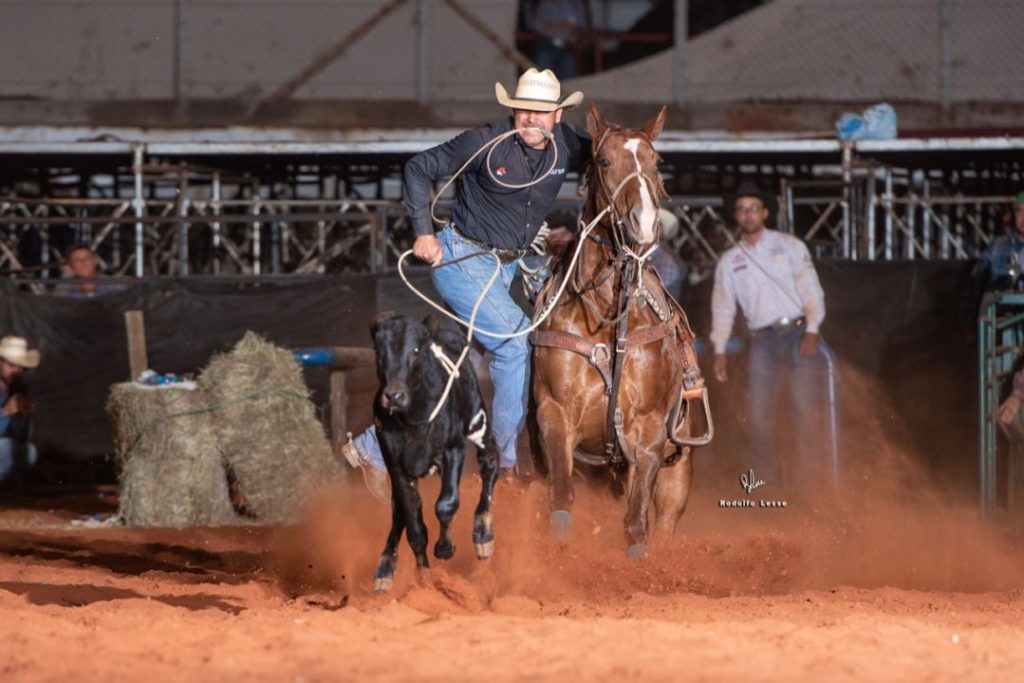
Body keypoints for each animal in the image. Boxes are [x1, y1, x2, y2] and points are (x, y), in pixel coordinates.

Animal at [368, 311, 499, 593]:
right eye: (379, 351)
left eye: (416, 349)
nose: (393, 396)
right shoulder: (396, 466)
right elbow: (414, 527)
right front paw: (423, 579)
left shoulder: (453, 449)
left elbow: (446, 504)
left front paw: (446, 547)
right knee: (399, 512)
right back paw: (385, 567)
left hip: (478, 423)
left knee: (490, 462)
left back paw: (483, 533)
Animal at [528, 104, 712, 557]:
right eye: (605, 161)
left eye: (655, 161)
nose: (643, 224)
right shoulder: (555, 414)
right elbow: (562, 498)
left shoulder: (648, 429)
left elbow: (636, 522)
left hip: (677, 475)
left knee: (661, 521)